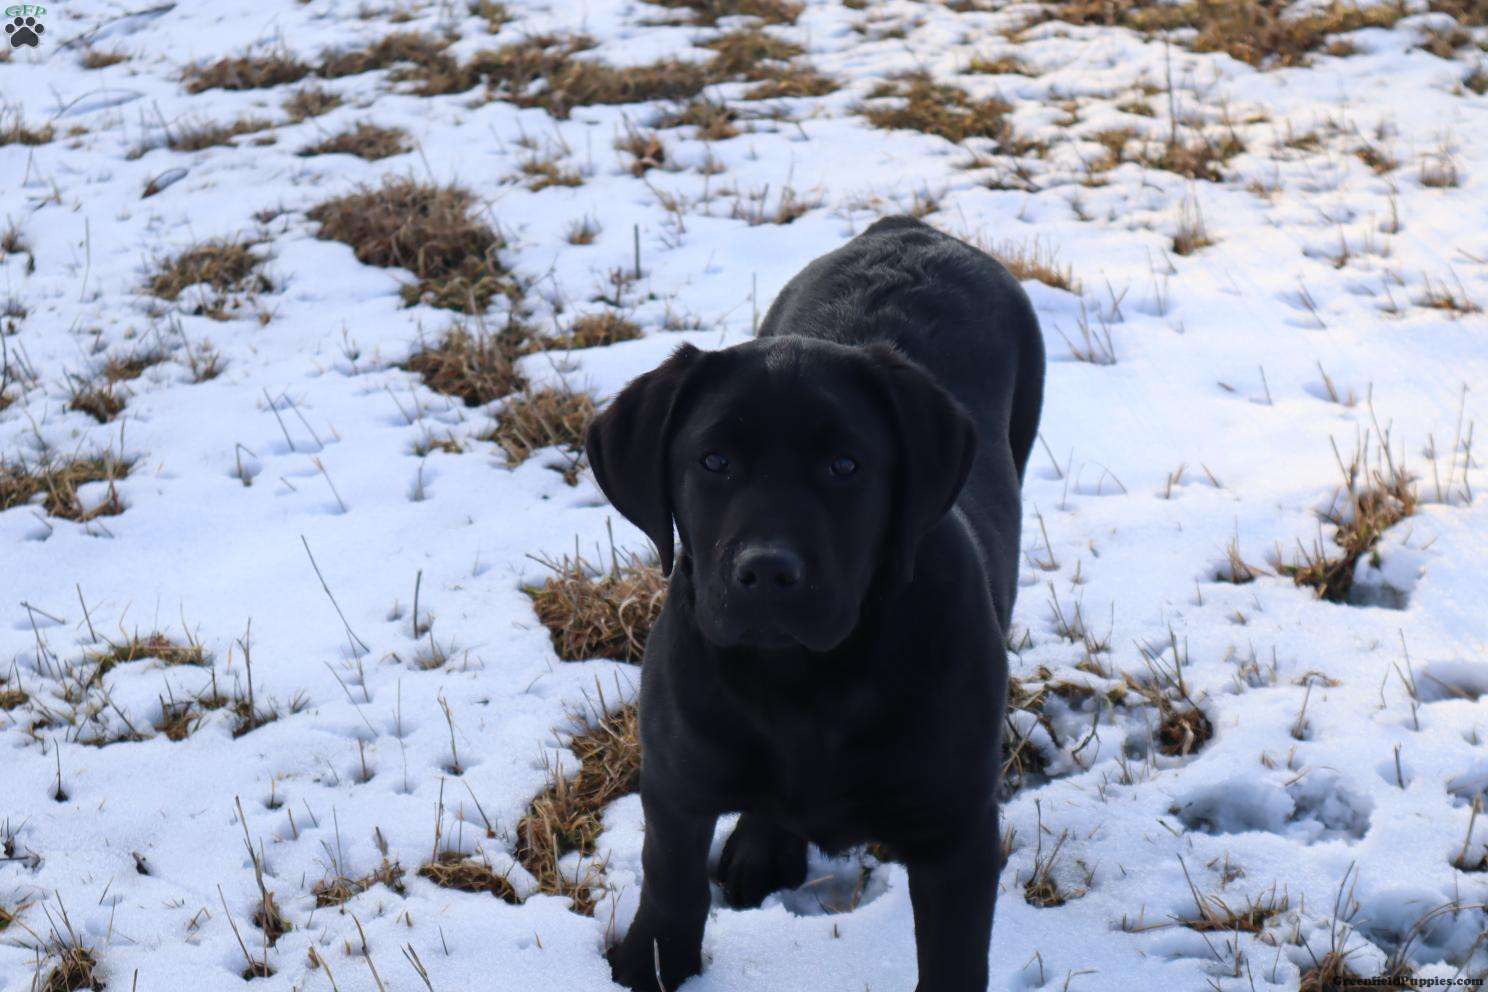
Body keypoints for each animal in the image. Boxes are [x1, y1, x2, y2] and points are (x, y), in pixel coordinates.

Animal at [587, 216, 1045, 992]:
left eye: (845, 466)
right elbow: (669, 899)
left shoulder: (957, 833)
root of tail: (911, 228)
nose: (769, 572)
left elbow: (953, 960)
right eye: (714, 462)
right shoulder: (676, 788)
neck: (804, 683)